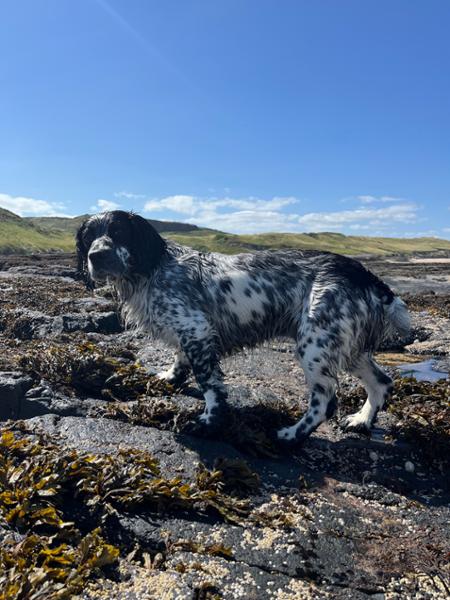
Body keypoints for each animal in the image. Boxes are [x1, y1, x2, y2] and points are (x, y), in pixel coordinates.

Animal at [77, 211, 412, 446]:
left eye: (118, 232)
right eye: (89, 237)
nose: (97, 256)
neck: (153, 269)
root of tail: (364, 274)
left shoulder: (195, 329)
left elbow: (209, 384)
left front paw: (208, 422)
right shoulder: (190, 331)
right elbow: (180, 360)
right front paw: (170, 378)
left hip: (315, 344)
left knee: (325, 401)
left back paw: (290, 436)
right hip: (346, 344)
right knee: (382, 382)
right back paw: (361, 420)